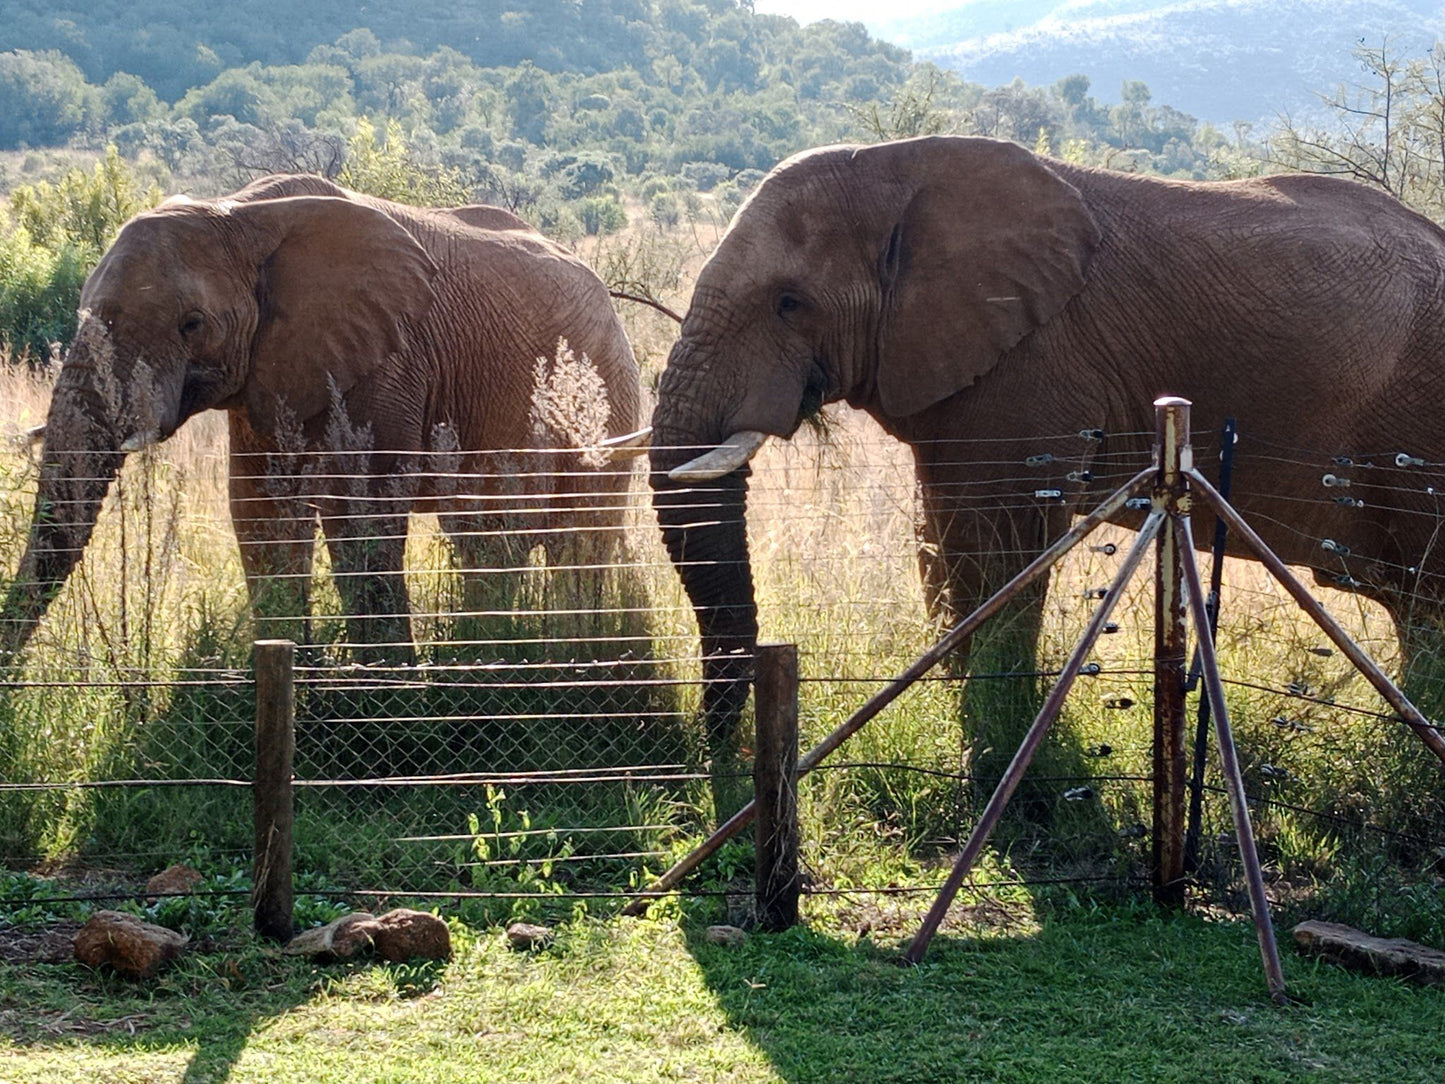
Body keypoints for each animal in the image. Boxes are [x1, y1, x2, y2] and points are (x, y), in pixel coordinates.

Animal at [0, 174, 644, 659]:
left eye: (192, 324)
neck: (243, 211)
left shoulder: (388, 363)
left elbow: (358, 515)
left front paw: (384, 706)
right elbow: (262, 517)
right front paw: (296, 677)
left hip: (609, 398)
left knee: (577, 539)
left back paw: (574, 653)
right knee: (488, 539)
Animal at [653, 135, 1445, 774]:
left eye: (789, 303)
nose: (725, 755)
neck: (899, 167)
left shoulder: (1033, 362)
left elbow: (1001, 544)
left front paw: (991, 752)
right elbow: (941, 537)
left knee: (1426, 594)